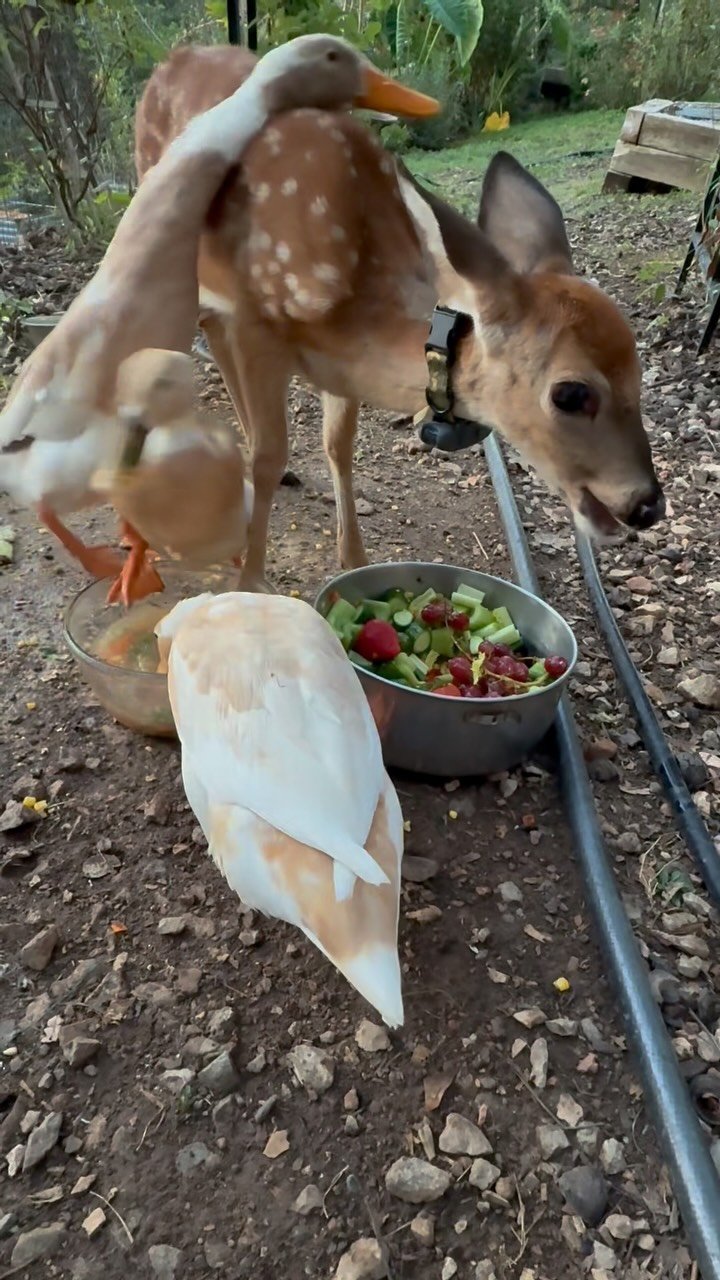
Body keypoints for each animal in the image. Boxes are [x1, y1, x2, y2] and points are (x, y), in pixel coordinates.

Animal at [135, 43, 665, 593]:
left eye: (638, 370)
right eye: (571, 394)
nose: (647, 504)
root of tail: (174, 57)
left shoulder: (339, 365)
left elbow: (338, 446)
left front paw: (355, 558)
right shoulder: (258, 323)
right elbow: (268, 453)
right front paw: (250, 583)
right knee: (208, 331)